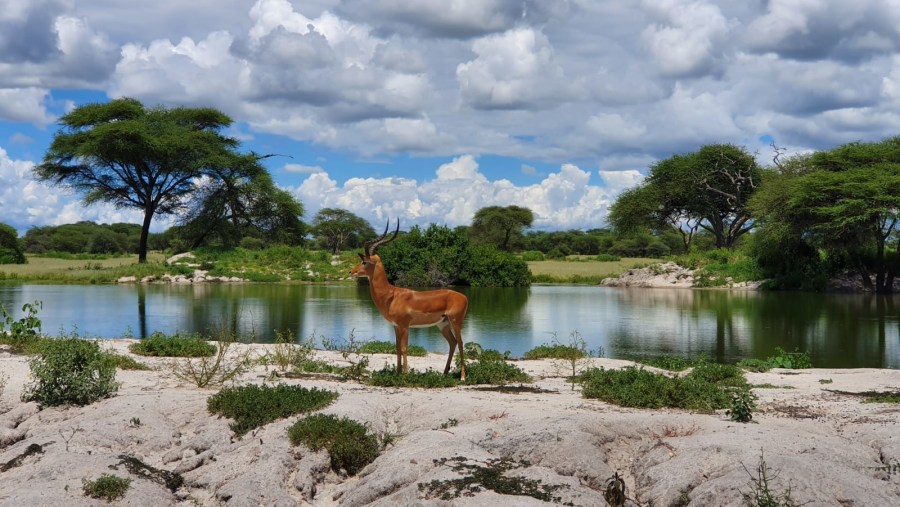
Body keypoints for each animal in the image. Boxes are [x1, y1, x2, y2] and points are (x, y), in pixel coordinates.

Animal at [350, 220, 472, 380]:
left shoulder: (405, 326)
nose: (351, 272)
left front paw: (406, 375)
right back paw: (444, 373)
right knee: (453, 343)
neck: (391, 296)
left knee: (461, 343)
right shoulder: (395, 326)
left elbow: (404, 348)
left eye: (364, 261)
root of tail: (464, 296)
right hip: (443, 324)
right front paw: (397, 373)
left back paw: (462, 376)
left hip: (455, 321)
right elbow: (397, 348)